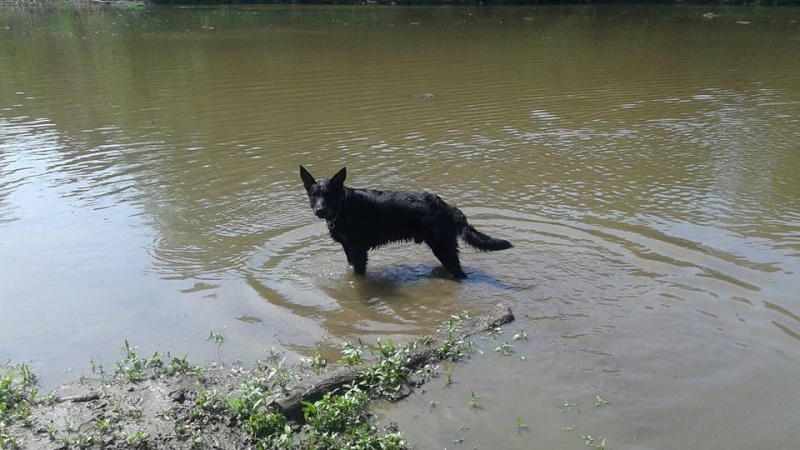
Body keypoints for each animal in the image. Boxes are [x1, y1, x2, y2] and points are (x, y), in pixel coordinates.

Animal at [300, 165, 512, 278]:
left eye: (329, 195)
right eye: (314, 195)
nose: (320, 210)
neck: (342, 208)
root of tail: (446, 206)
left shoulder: (359, 250)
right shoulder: (348, 248)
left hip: (443, 247)